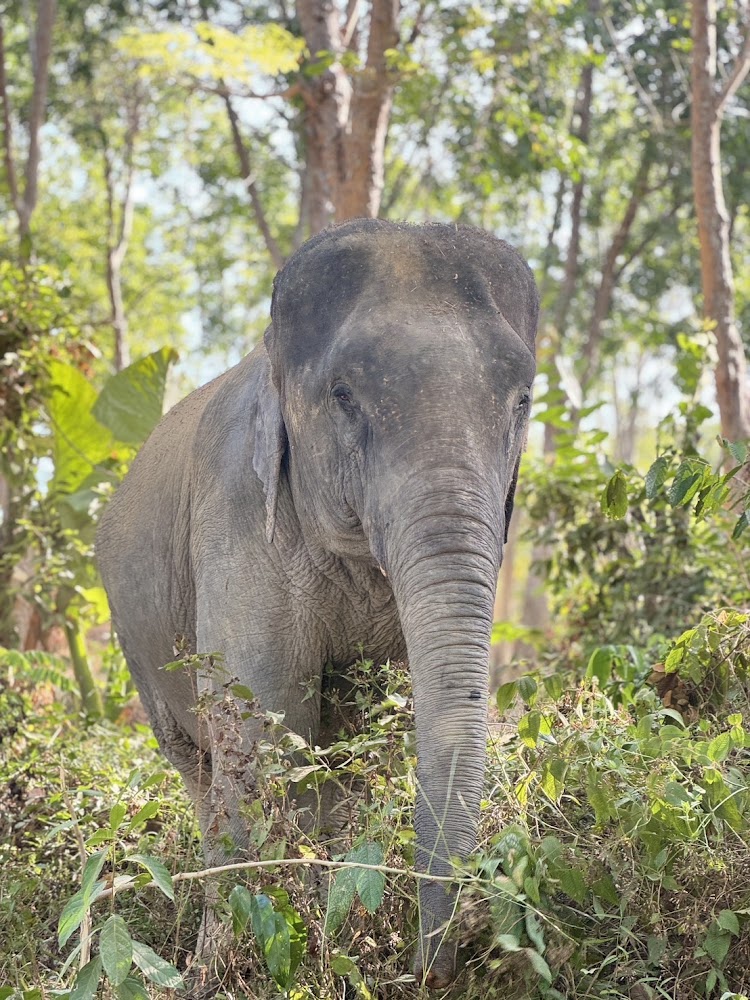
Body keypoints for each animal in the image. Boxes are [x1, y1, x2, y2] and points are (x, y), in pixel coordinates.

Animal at [96, 218, 538, 988]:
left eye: (523, 400)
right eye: (343, 394)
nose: (427, 974)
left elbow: (374, 739)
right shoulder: (238, 519)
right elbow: (263, 735)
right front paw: (293, 957)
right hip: (134, 637)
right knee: (199, 768)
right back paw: (209, 958)